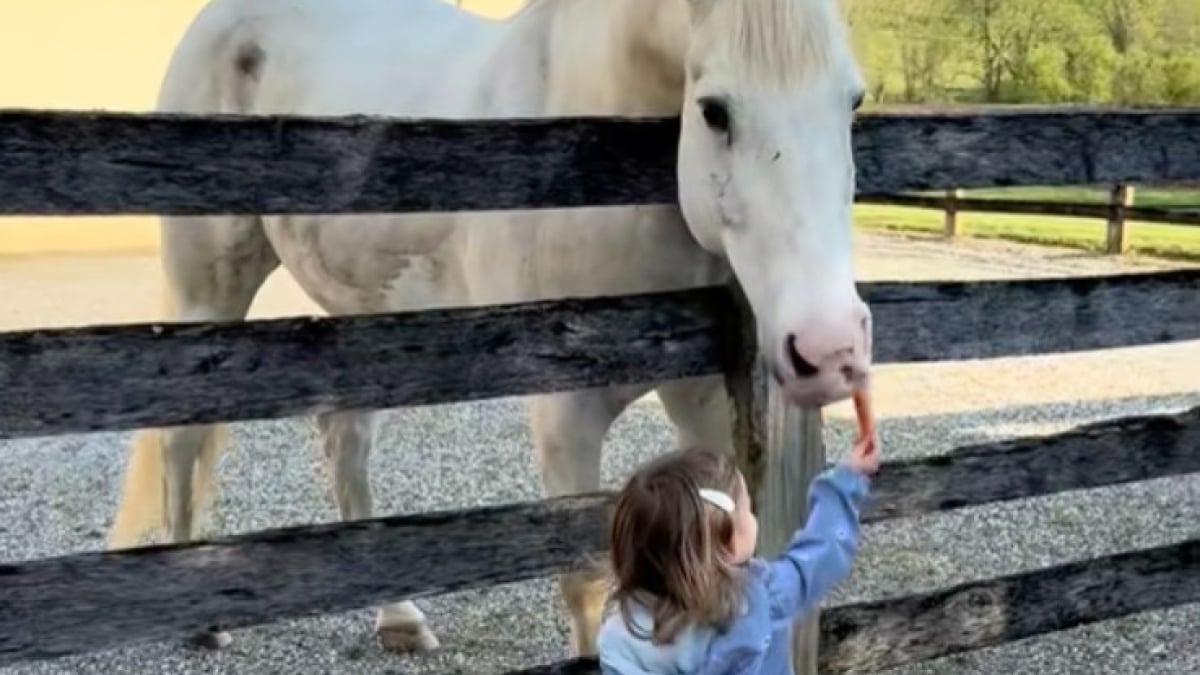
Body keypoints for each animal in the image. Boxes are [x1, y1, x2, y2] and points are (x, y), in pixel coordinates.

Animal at [107, 0, 871, 659]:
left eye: (853, 101)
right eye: (714, 111)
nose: (831, 348)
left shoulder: (703, 399)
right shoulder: (566, 411)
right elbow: (585, 580)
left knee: (345, 443)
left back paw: (399, 619)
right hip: (210, 291)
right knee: (185, 438)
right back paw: (201, 618)